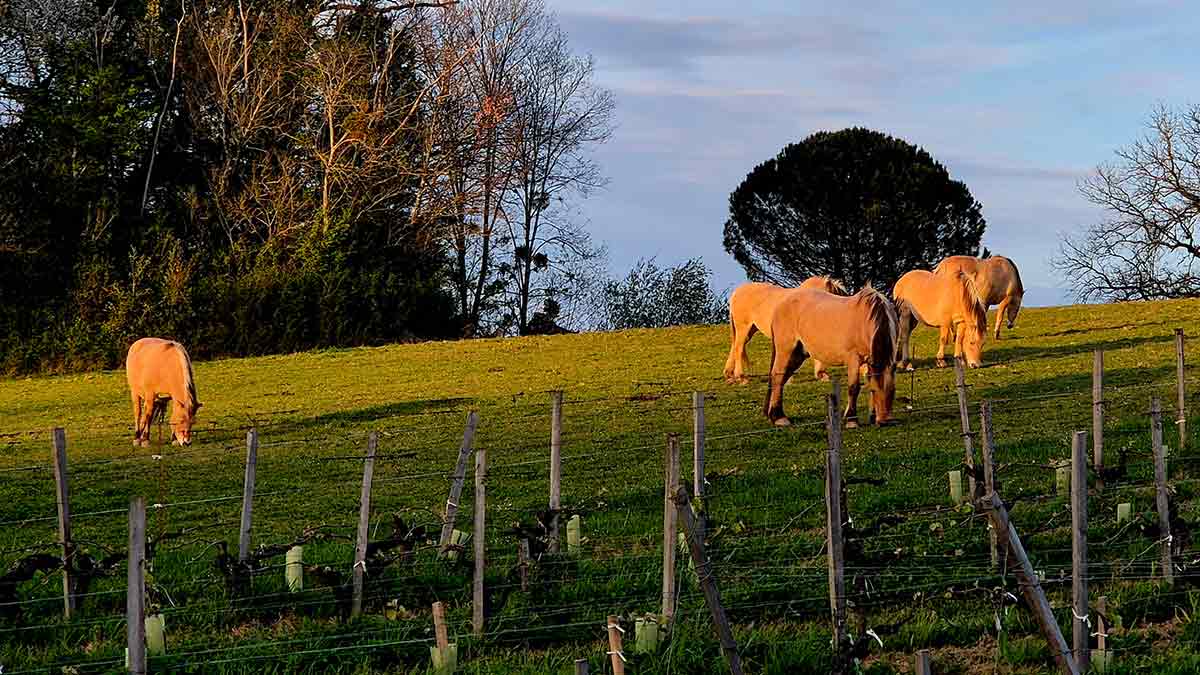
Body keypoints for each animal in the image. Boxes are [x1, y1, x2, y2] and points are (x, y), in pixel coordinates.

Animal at [763, 286, 897, 428]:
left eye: (893, 391)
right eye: (875, 390)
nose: (885, 421)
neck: (867, 318)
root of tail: (781, 304)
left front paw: (871, 416)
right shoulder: (853, 359)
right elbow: (854, 388)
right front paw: (851, 420)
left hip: (798, 354)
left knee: (782, 378)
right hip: (786, 350)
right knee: (778, 377)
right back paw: (779, 417)